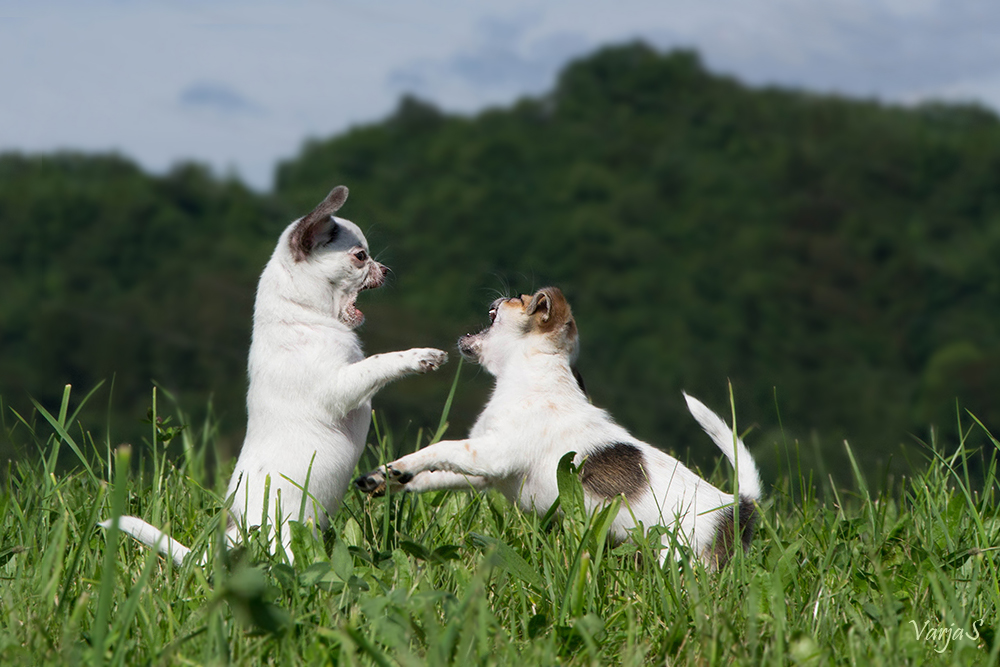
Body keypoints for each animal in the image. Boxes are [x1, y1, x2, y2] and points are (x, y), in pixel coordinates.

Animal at [101, 187, 446, 564]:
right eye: (360, 257)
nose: (384, 269)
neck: (301, 314)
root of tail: (220, 552)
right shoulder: (338, 388)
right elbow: (377, 363)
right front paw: (419, 356)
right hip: (288, 537)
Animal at [356, 288, 760, 568]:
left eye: (519, 298)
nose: (500, 296)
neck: (530, 376)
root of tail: (737, 508)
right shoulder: (484, 472)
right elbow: (431, 476)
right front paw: (385, 478)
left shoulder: (490, 455)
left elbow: (437, 450)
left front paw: (400, 467)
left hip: (681, 558)